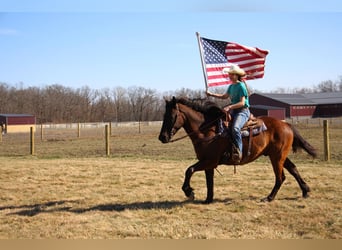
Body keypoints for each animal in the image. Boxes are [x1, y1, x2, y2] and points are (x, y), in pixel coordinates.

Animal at [159, 96, 316, 204]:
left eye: (172, 116)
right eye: (163, 115)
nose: (162, 137)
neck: (207, 130)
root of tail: (286, 125)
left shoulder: (209, 161)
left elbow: (189, 170)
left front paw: (189, 192)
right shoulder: (208, 163)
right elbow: (209, 181)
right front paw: (208, 199)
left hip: (276, 157)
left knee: (280, 177)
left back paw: (269, 197)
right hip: (279, 155)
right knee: (293, 169)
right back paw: (305, 190)